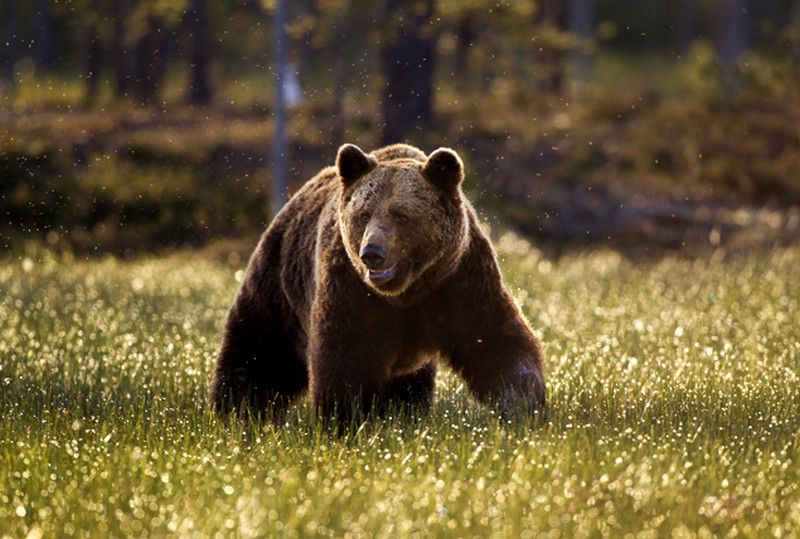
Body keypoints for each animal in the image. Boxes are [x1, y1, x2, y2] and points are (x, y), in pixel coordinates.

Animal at [211, 142, 544, 422]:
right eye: (364, 214)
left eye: (401, 215)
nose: (372, 253)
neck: (408, 291)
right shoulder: (351, 288)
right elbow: (345, 358)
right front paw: (343, 419)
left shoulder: (459, 279)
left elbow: (496, 340)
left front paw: (524, 403)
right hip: (279, 288)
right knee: (258, 354)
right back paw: (234, 411)